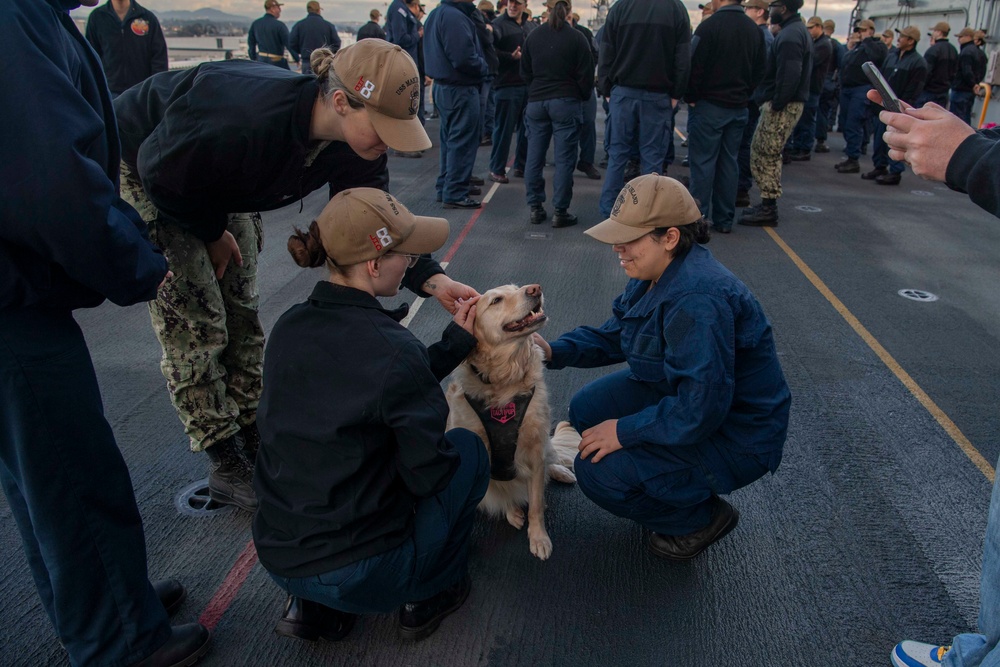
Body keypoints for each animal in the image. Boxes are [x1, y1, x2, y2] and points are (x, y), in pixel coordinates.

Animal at [448, 284, 580, 560]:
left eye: (517, 287)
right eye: (496, 300)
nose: (535, 288)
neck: (506, 378)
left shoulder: (536, 447)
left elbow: (537, 503)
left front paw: (539, 537)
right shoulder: (485, 455)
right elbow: (504, 490)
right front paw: (514, 512)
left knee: (551, 458)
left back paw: (561, 471)